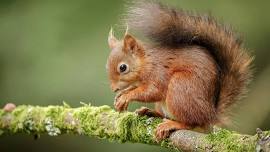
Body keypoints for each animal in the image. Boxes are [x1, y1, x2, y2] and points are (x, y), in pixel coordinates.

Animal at [106, 1, 253, 141]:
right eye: (107, 66)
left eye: (123, 67)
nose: (114, 89)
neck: (146, 62)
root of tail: (210, 115)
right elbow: (136, 88)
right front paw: (121, 95)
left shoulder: (158, 73)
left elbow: (152, 91)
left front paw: (126, 96)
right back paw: (149, 111)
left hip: (180, 88)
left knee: (191, 123)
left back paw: (172, 124)